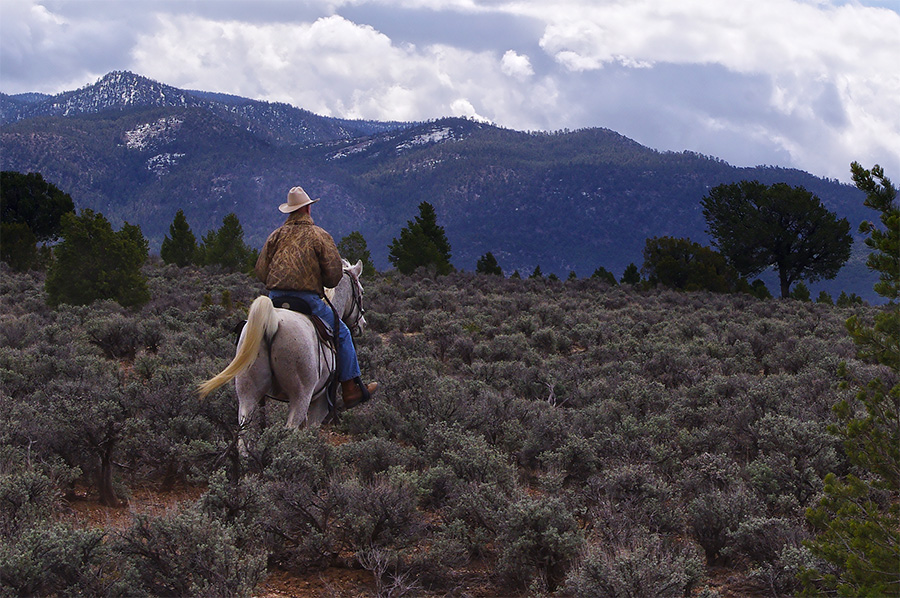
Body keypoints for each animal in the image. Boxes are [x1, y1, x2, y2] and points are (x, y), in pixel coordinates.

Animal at [200, 258, 370, 432]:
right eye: (362, 291)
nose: (362, 324)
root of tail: (272, 321)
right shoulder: (320, 402)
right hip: (300, 396)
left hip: (248, 395)